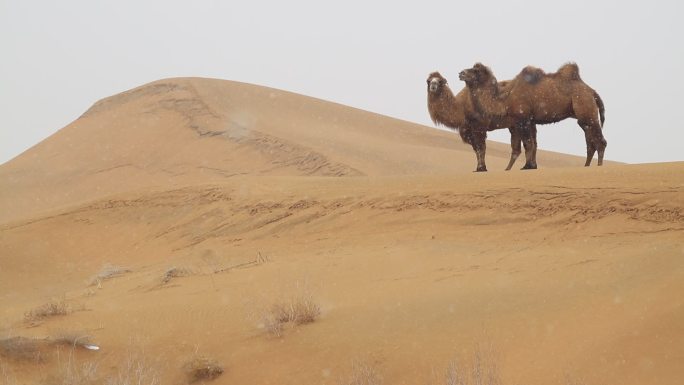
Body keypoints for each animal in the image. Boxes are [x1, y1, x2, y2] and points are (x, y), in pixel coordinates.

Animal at [456, 62, 608, 166]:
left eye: (475, 71)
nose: (461, 73)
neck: (506, 99)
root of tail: (593, 92)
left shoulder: (523, 119)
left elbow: (528, 144)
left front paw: (527, 167)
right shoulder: (529, 120)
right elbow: (532, 144)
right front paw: (530, 166)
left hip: (586, 108)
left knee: (600, 142)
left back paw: (599, 167)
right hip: (584, 116)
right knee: (590, 142)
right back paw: (586, 166)